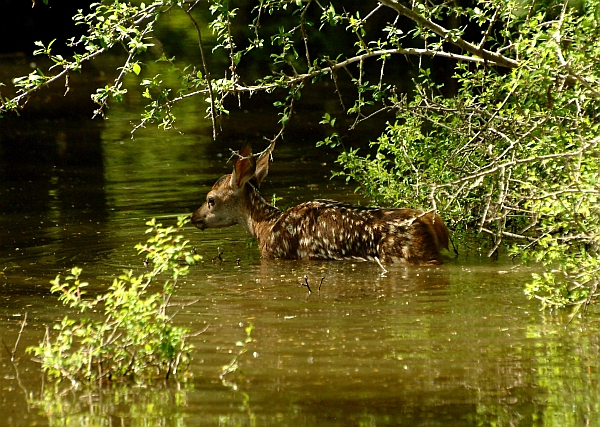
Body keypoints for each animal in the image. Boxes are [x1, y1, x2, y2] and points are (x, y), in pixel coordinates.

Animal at [190, 147, 448, 268]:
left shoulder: (276, 254)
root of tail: (430, 221)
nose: (193, 217)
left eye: (211, 199)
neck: (265, 226)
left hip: (410, 256)